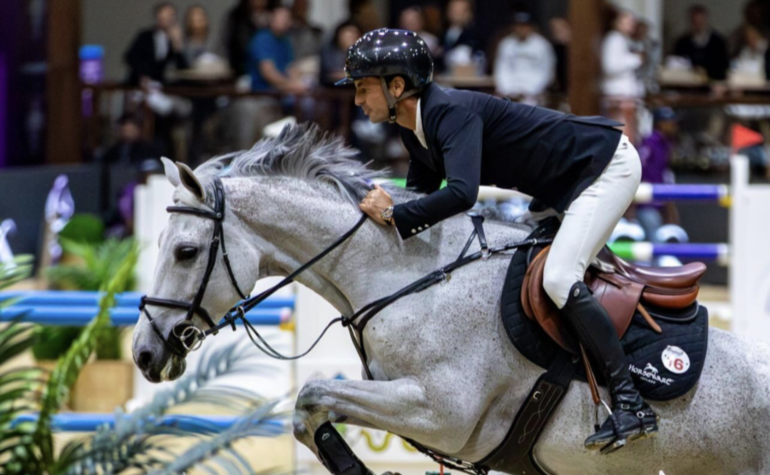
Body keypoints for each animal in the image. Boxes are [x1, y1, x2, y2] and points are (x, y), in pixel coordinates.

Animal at [132, 126, 768, 475]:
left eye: (186, 251)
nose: (143, 354)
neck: (409, 275)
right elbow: (308, 411)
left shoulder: (444, 412)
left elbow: (312, 395)